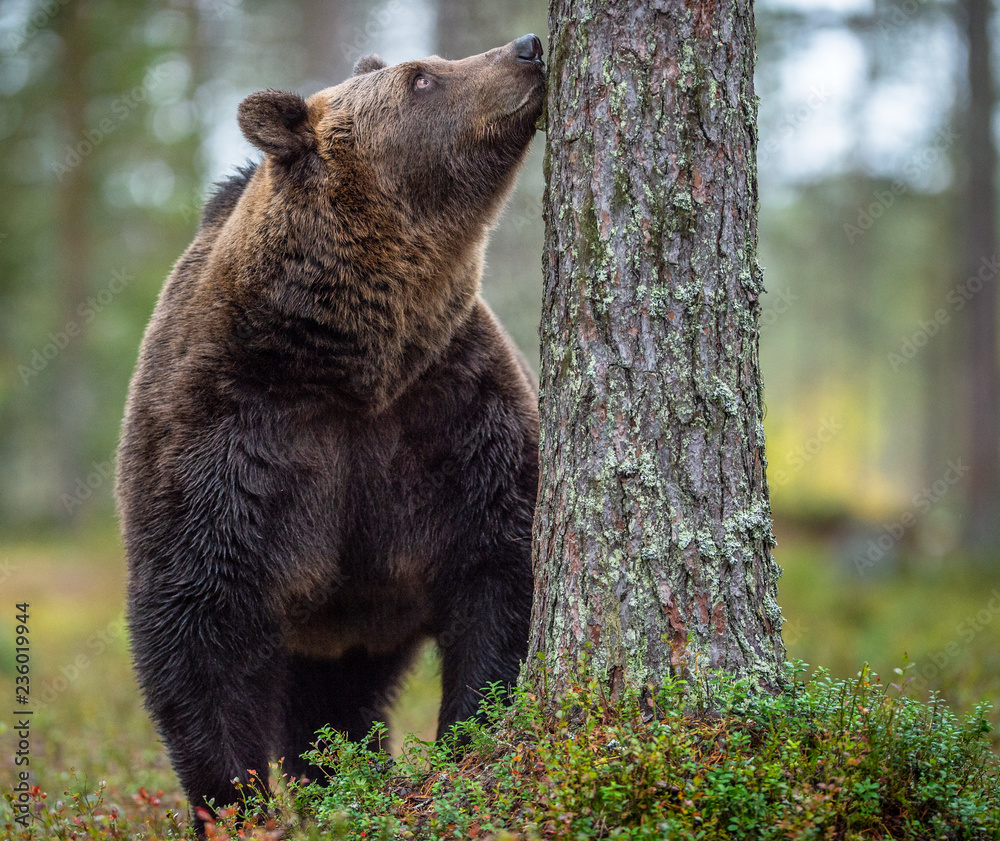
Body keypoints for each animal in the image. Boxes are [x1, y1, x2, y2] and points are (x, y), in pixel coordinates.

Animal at [115, 33, 545, 832]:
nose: (528, 48)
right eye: (422, 78)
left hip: (353, 625)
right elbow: (198, 620)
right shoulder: (232, 433)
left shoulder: (453, 409)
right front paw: (236, 801)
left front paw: (465, 739)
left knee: (339, 704)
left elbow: (498, 571)